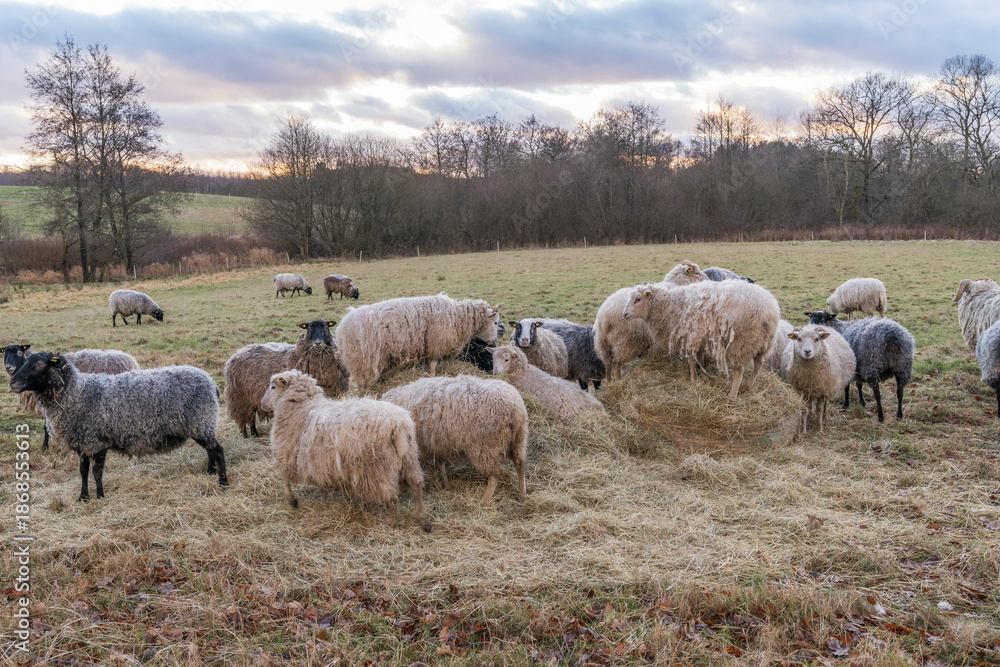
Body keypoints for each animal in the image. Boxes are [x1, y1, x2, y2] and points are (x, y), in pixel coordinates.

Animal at [9, 353, 226, 501]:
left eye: (39, 364)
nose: (12, 382)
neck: (77, 394)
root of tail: (211, 382)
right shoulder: (84, 442)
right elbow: (83, 470)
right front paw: (83, 498)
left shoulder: (97, 441)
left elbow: (97, 472)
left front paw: (100, 496)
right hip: (202, 424)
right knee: (210, 450)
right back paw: (210, 472)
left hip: (200, 421)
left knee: (217, 450)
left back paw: (223, 482)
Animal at [261, 370, 430, 531]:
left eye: (273, 387)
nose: (262, 404)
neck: (301, 406)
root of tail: (398, 425)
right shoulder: (319, 461)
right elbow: (321, 482)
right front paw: (324, 499)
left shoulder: (288, 453)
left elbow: (286, 480)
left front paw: (292, 500)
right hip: (409, 457)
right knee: (417, 486)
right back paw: (422, 519)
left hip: (377, 468)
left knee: (392, 498)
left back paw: (389, 523)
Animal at [335, 294, 500, 392]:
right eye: (496, 322)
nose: (493, 342)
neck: (456, 316)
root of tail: (341, 329)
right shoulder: (435, 347)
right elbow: (432, 369)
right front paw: (433, 379)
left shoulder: (427, 350)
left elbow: (427, 368)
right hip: (364, 360)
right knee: (362, 384)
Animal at [382, 375, 528, 502]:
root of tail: (516, 411)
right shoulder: (436, 442)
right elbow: (440, 463)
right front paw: (447, 485)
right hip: (518, 440)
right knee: (520, 465)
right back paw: (522, 494)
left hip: (487, 446)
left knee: (495, 475)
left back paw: (485, 500)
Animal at [622, 280, 780, 398]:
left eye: (638, 299)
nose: (624, 315)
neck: (669, 306)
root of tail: (769, 310)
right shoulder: (697, 337)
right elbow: (698, 357)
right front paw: (702, 370)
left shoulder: (688, 338)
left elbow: (691, 361)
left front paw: (692, 379)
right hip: (764, 342)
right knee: (758, 363)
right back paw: (749, 384)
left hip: (740, 343)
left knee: (739, 371)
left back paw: (733, 394)